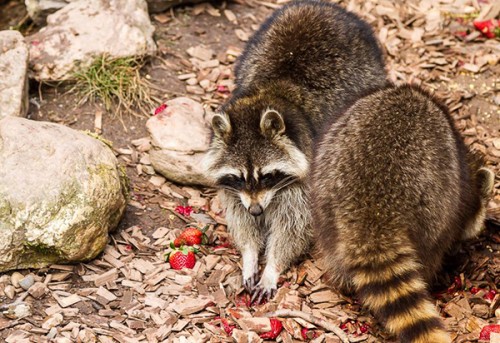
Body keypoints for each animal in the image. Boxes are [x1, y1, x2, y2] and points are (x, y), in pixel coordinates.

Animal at [202, 0, 386, 300]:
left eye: (267, 176)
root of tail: (322, 6)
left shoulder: (305, 176)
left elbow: (295, 228)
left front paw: (272, 267)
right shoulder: (234, 191)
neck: (269, 94)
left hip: (368, 71)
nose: (257, 211)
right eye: (239, 177)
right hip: (254, 47)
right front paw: (250, 255)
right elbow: (240, 219)